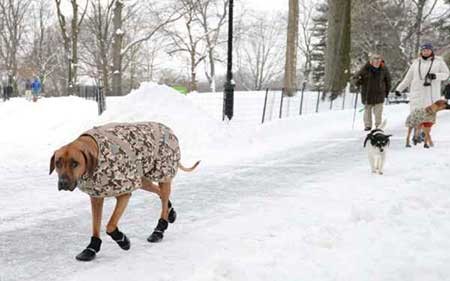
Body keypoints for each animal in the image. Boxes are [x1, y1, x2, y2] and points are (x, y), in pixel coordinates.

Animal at [49, 121, 199, 262]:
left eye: (75, 163)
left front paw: (122, 240)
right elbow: (95, 225)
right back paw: (170, 212)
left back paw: (159, 229)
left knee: (164, 193)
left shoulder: (124, 193)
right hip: (141, 178)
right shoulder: (96, 196)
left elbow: (110, 225)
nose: (63, 183)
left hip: (162, 171)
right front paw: (91, 249)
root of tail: (167, 128)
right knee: (161, 193)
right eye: (58, 163)